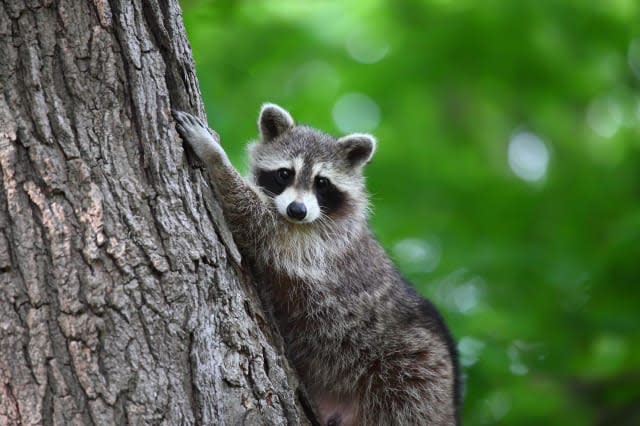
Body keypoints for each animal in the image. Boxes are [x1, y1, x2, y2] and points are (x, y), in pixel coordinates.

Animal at [170, 104, 460, 426]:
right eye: (285, 173)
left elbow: (254, 216)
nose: (297, 210)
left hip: (411, 379)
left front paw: (214, 155)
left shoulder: (317, 242)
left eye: (322, 182)